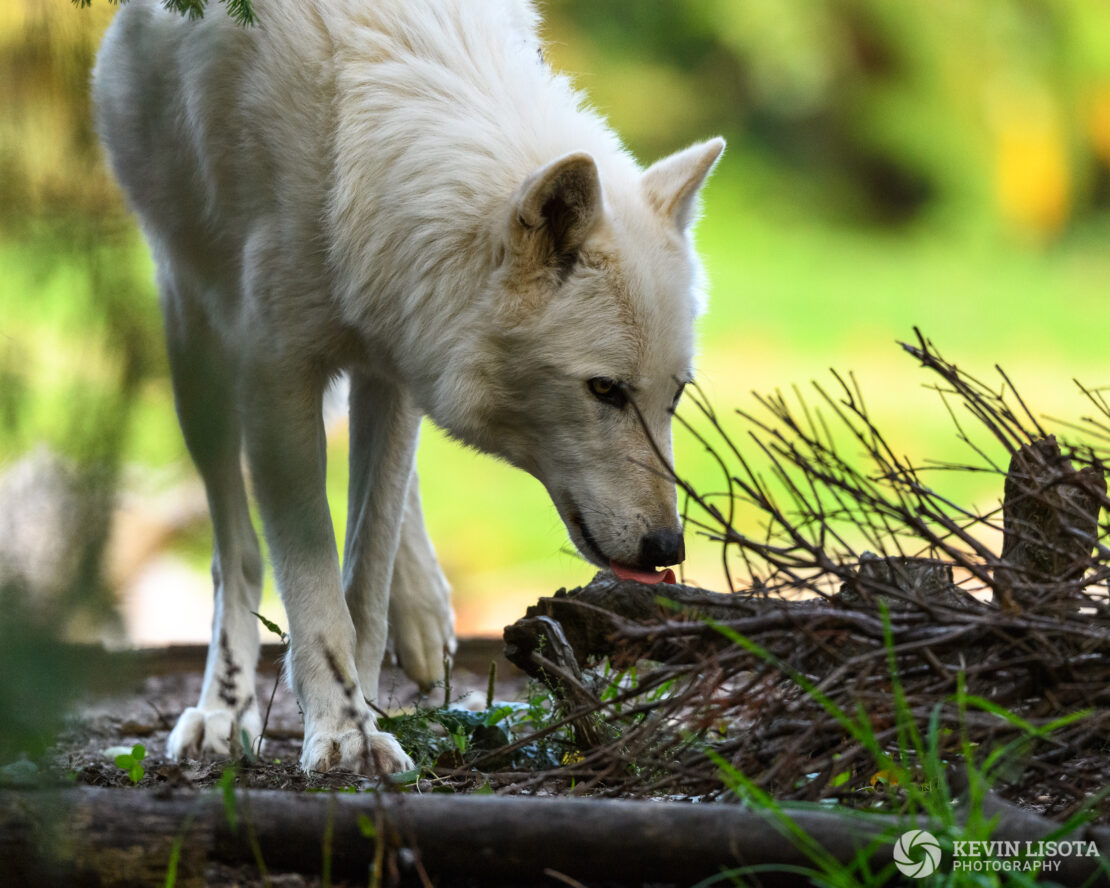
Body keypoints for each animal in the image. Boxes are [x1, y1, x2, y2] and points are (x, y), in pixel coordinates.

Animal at [91, 0, 723, 772]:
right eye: (604, 390)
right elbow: (310, 582)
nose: (668, 549)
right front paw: (341, 731)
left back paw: (421, 617)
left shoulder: (393, 359)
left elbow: (366, 570)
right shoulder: (278, 376)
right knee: (232, 548)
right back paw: (222, 710)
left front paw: (359, 713)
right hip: (196, 346)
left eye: (676, 396)